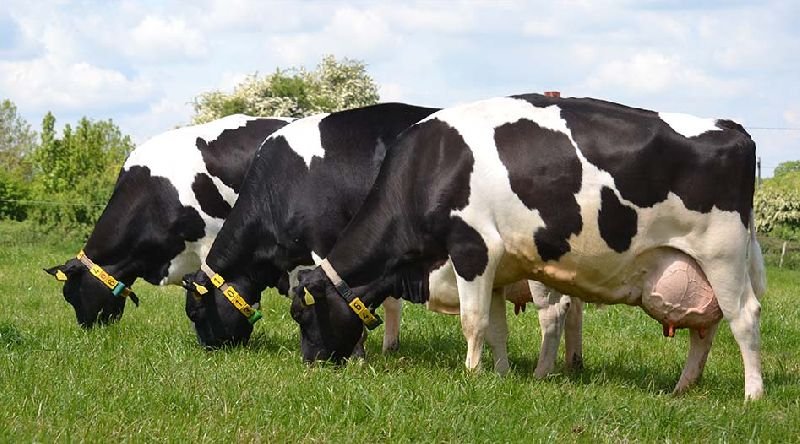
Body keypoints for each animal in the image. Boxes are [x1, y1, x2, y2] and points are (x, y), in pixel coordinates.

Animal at [293, 94, 767, 400]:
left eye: (303, 314)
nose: (310, 363)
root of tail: (732, 127)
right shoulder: (499, 268)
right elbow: (496, 326)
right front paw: (500, 374)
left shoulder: (472, 248)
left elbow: (473, 321)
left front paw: (470, 375)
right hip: (695, 264)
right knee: (706, 326)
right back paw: (682, 388)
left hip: (722, 253)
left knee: (744, 316)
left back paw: (752, 395)